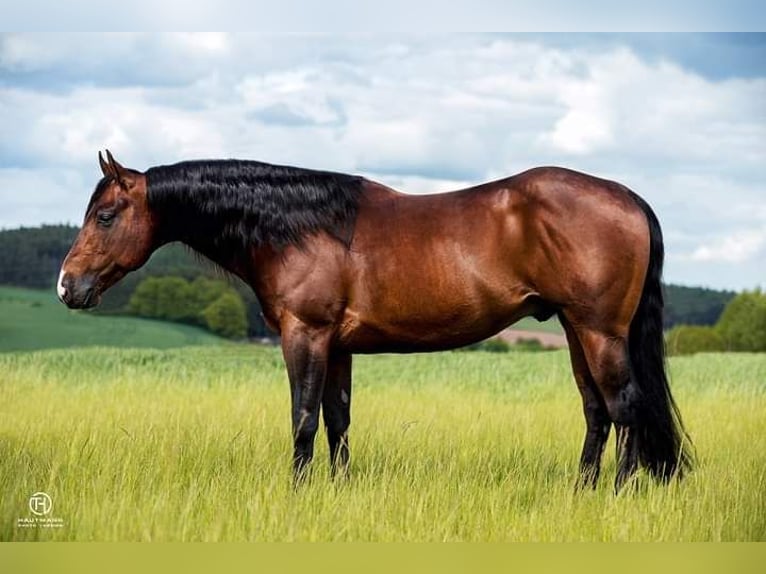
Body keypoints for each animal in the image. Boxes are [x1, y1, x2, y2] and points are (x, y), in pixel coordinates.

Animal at [60, 151, 696, 492]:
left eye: (106, 215)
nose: (67, 285)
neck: (301, 228)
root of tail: (627, 197)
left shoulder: (305, 335)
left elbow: (303, 419)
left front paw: (298, 493)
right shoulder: (337, 346)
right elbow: (337, 420)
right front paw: (337, 490)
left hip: (598, 330)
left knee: (625, 407)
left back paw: (617, 493)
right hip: (572, 329)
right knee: (597, 411)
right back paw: (581, 490)